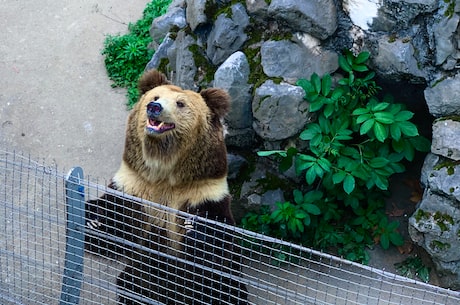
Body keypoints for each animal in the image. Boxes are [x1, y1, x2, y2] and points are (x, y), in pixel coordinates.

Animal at [86, 69, 248, 304]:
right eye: (155, 96)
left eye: (180, 103)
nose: (154, 107)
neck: (164, 173)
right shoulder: (134, 185)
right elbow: (113, 227)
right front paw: (94, 219)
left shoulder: (204, 192)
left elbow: (217, 247)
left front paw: (193, 229)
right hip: (140, 276)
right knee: (130, 286)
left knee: (227, 290)